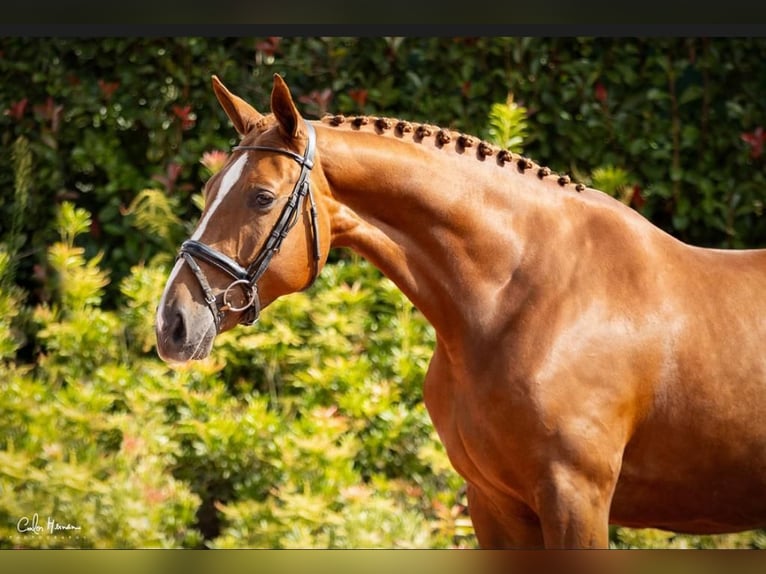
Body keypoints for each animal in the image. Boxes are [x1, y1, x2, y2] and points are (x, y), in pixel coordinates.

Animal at [154, 74, 766, 552]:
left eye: (261, 197)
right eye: (209, 187)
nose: (172, 324)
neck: (523, 298)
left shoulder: (577, 499)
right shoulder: (493, 503)